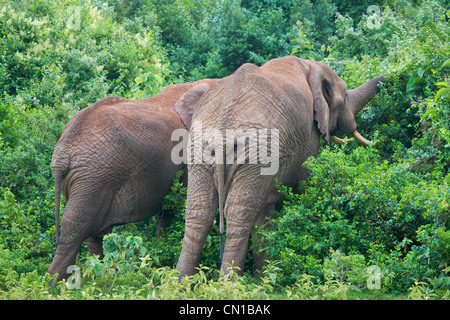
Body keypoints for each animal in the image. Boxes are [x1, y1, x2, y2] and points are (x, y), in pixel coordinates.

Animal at [176, 56, 386, 276]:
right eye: (344, 97)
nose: (390, 77)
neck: (309, 65)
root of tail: (225, 122)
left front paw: (263, 276)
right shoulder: (308, 137)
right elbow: (305, 186)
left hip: (201, 150)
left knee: (199, 213)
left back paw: (181, 280)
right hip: (257, 152)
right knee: (238, 215)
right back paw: (230, 282)